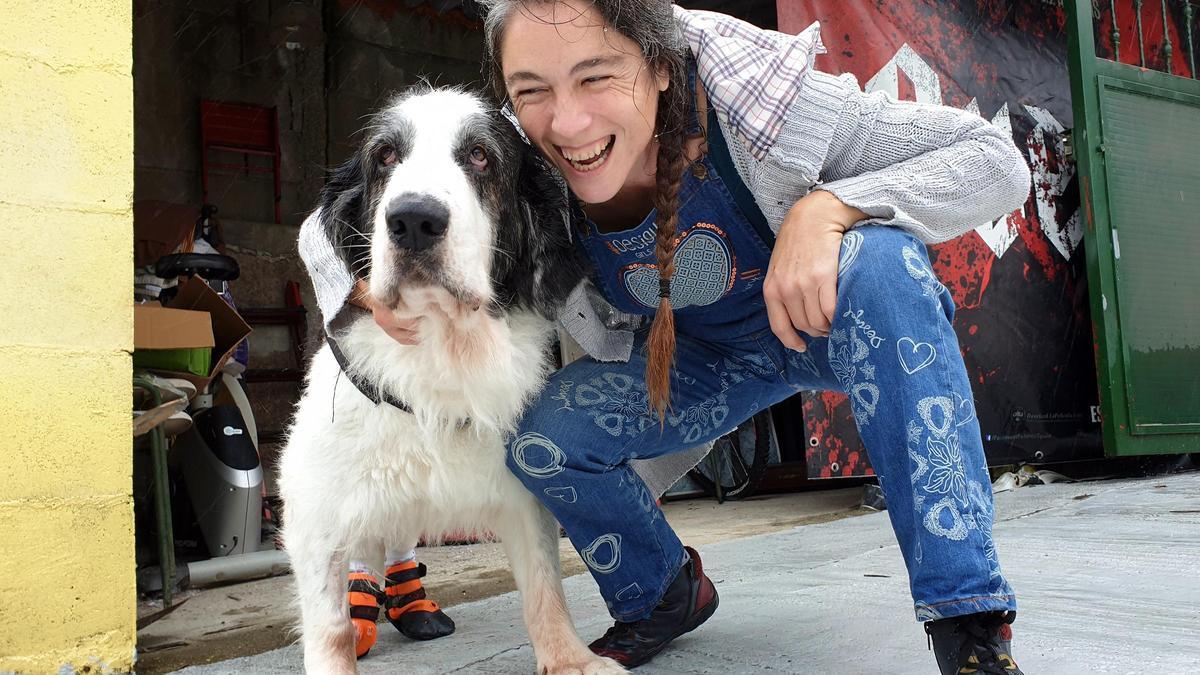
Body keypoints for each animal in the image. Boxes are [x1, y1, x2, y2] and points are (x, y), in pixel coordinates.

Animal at [277, 86, 624, 667]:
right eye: (385, 156)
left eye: (480, 156)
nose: (414, 220)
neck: (445, 351)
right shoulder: (314, 507)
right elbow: (330, 627)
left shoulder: (523, 497)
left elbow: (544, 589)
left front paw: (570, 659)